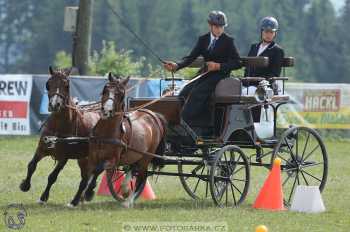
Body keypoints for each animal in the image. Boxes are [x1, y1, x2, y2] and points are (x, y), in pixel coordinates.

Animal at [19, 66, 103, 207]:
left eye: (67, 85)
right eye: (48, 84)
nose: (54, 104)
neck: (59, 125)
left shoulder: (64, 157)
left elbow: (52, 176)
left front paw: (43, 197)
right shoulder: (42, 148)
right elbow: (32, 165)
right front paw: (25, 185)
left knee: (92, 175)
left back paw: (81, 197)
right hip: (83, 159)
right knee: (86, 177)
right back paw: (79, 198)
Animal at [72, 73, 166, 208]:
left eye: (121, 94)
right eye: (105, 90)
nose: (107, 110)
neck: (105, 133)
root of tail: (153, 115)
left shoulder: (112, 160)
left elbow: (98, 169)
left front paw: (89, 192)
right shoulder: (92, 156)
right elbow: (85, 178)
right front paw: (75, 200)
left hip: (146, 157)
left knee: (142, 176)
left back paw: (128, 201)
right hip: (135, 154)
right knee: (133, 168)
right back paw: (125, 189)